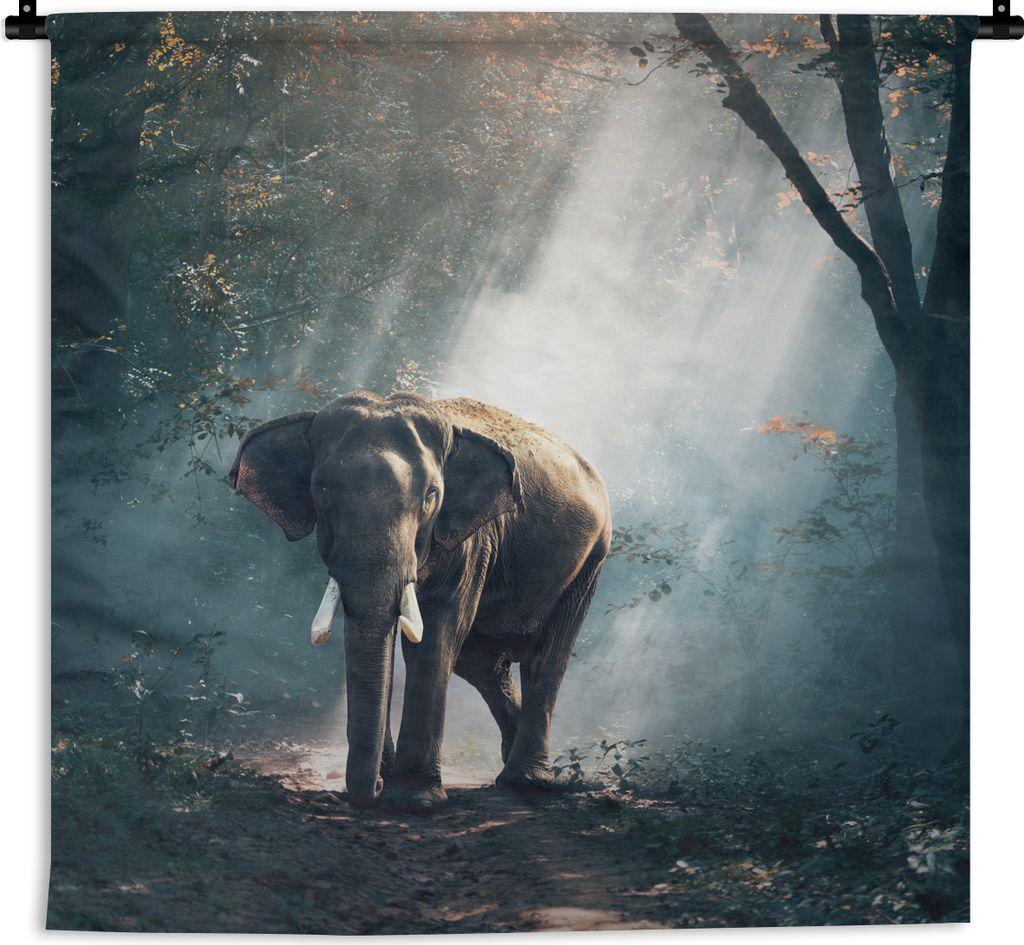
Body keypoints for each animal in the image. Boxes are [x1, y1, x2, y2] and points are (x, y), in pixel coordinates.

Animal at [229, 391, 611, 811]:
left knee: (545, 658)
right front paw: (390, 783)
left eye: (431, 495)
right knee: (481, 663)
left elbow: (435, 636)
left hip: (591, 559)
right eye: (322, 489)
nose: (374, 789)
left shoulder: (470, 539)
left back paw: (525, 782)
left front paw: (414, 800)